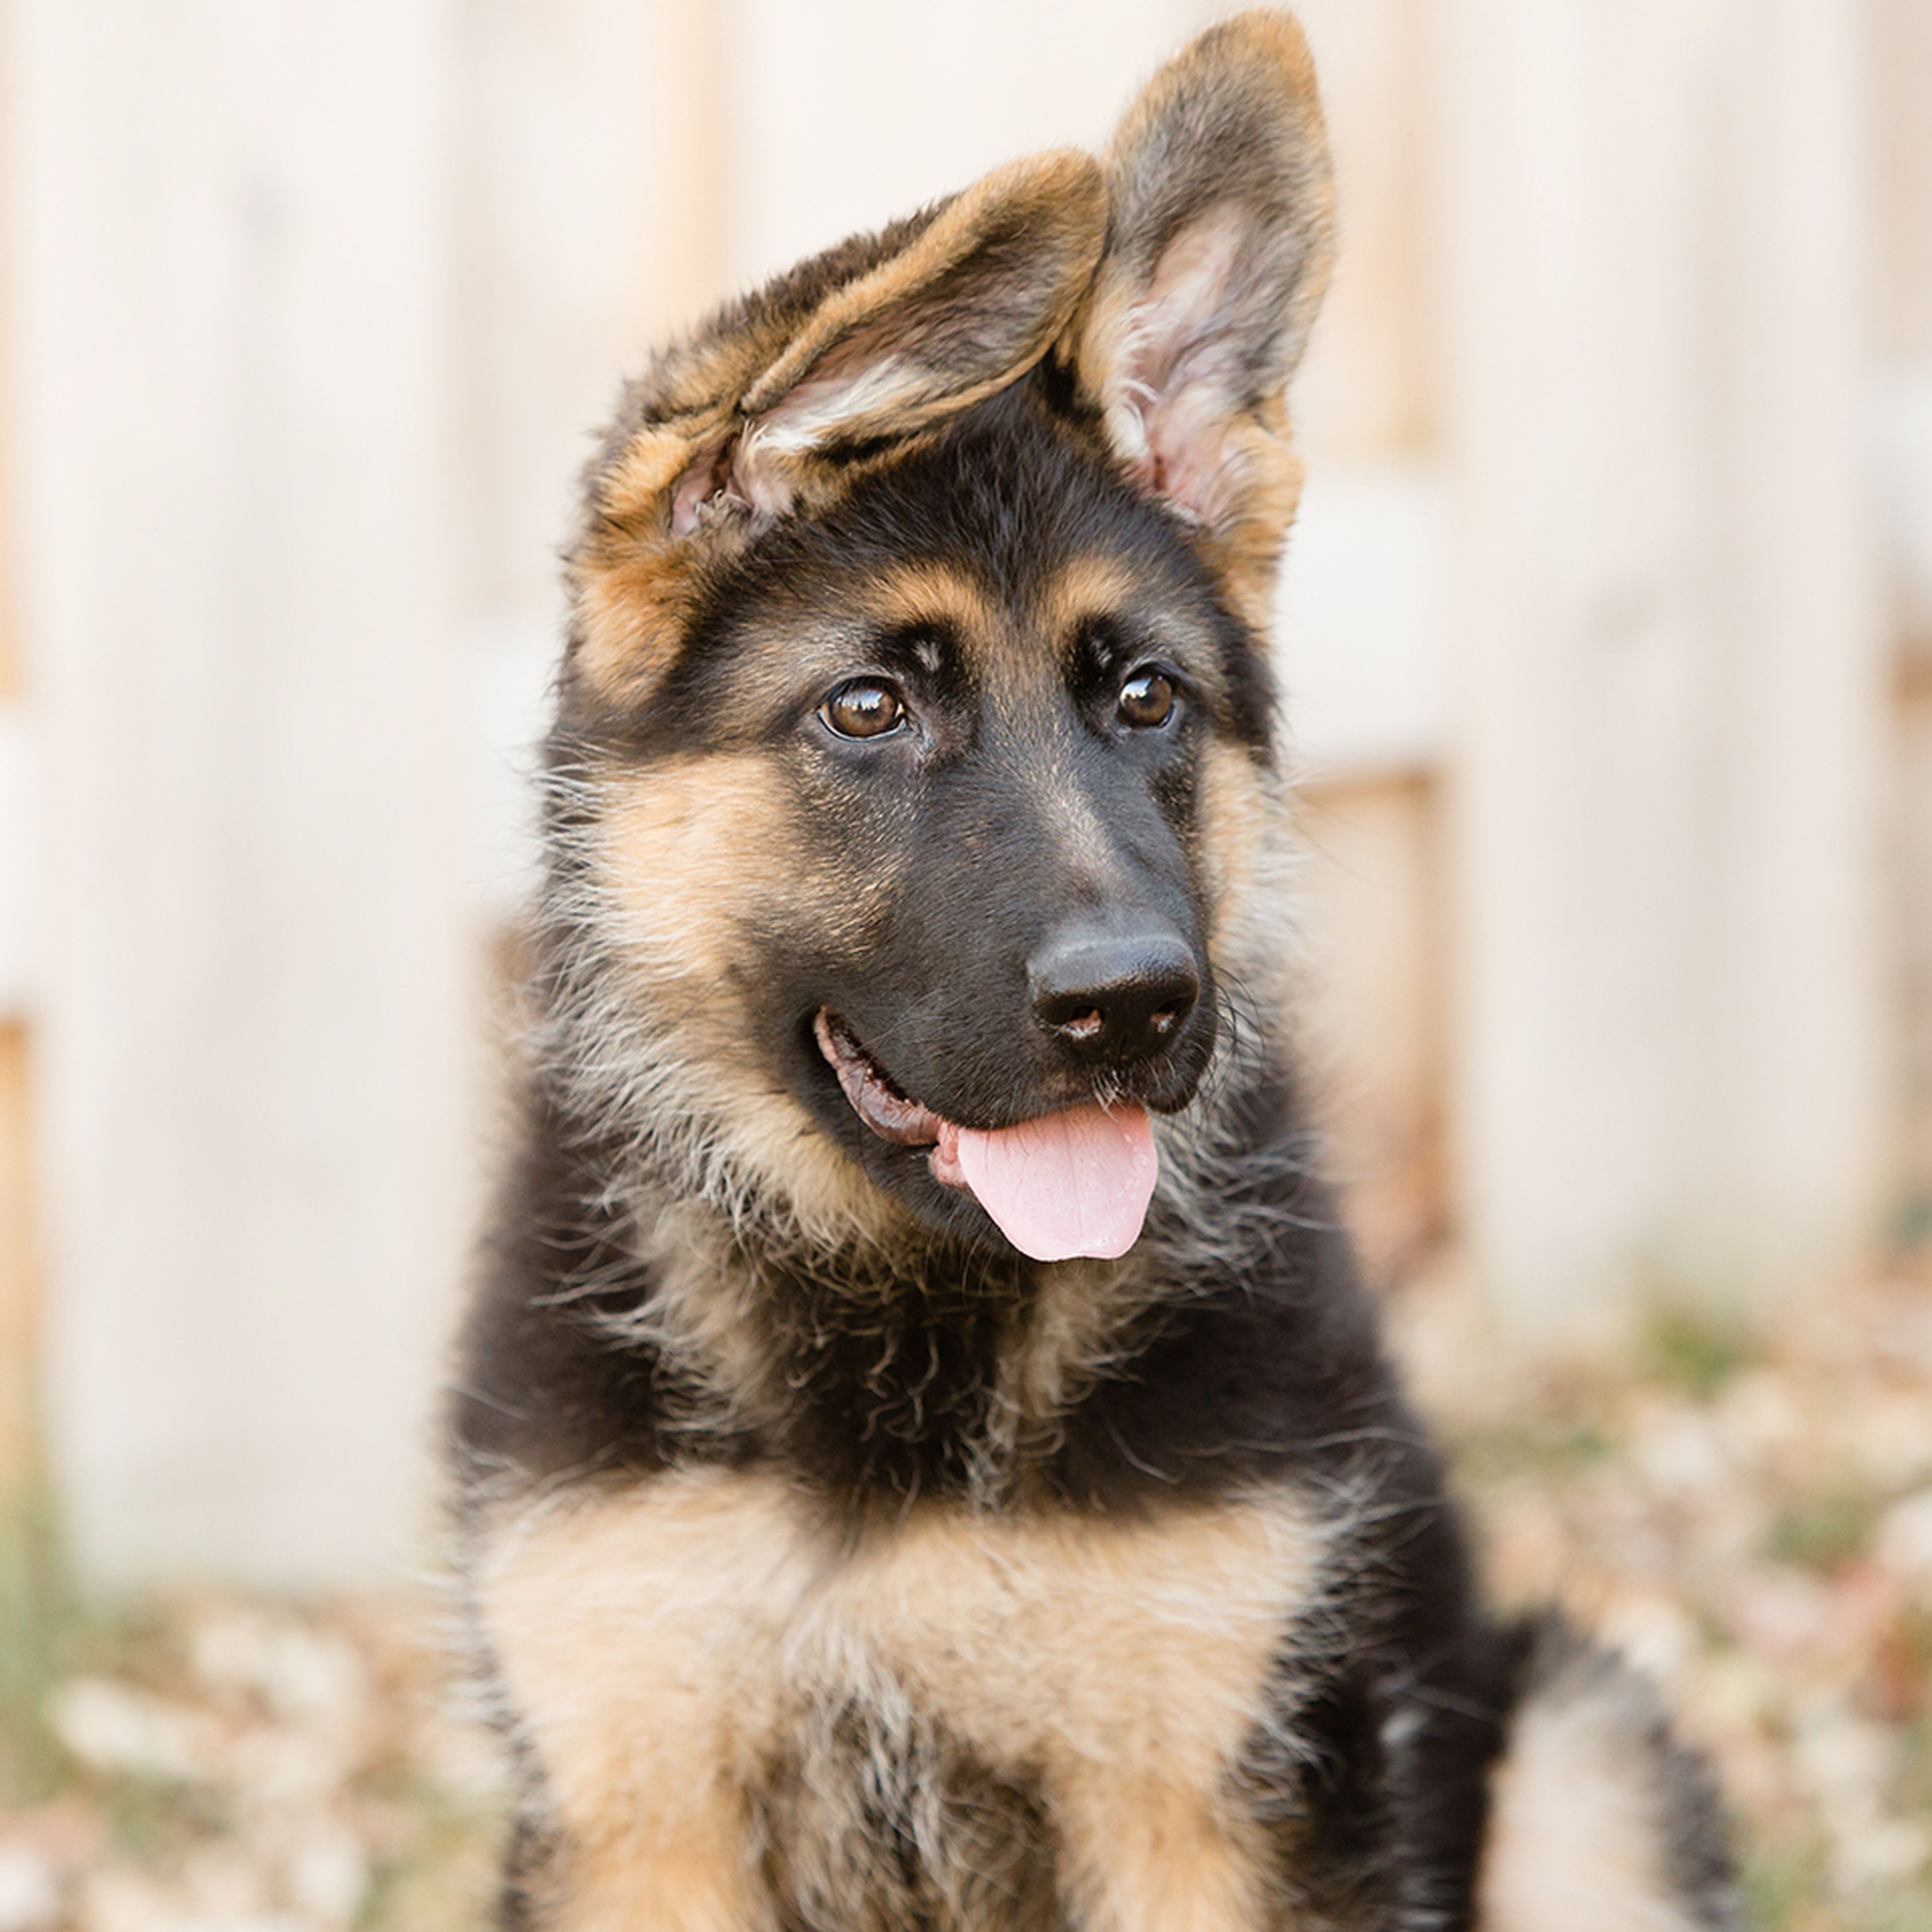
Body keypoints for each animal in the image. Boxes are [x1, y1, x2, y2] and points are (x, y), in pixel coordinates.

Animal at [448, 19, 1739, 1932]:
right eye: (867, 709)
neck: (899, 1339)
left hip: (1581, 1754)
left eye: (1146, 698)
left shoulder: (1223, 1806)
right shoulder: (637, 1813)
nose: (1133, 1005)